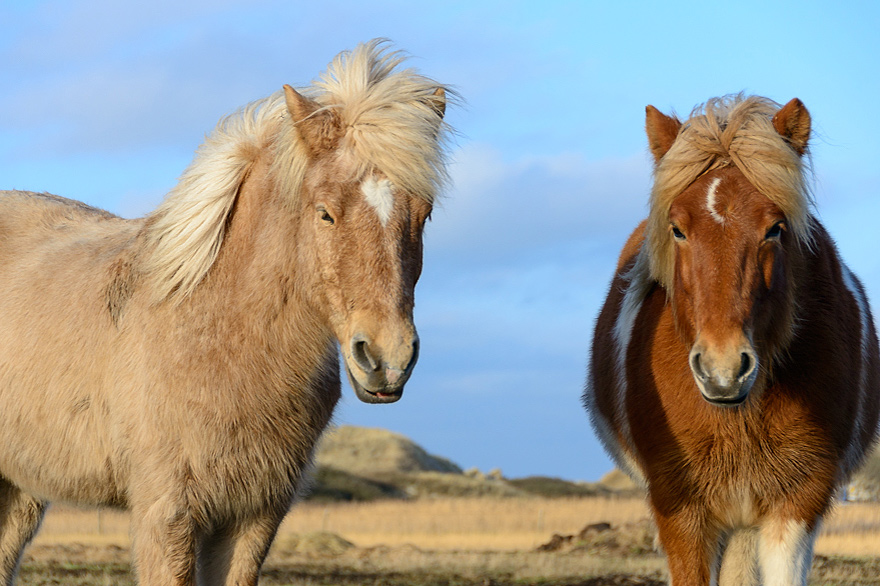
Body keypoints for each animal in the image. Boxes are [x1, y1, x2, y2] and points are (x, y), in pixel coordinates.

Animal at [0, 38, 446, 580]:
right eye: (325, 212)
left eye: (423, 215)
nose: (387, 359)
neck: (216, 334)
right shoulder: (166, 512)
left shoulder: (255, 516)